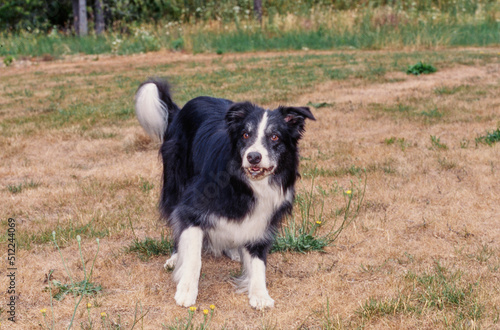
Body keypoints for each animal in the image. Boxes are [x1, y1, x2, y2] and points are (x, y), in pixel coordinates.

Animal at [135, 79, 314, 310]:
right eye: (245, 135)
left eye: (275, 136)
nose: (253, 157)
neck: (244, 184)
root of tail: (180, 109)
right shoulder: (192, 206)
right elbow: (193, 256)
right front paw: (186, 290)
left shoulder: (263, 215)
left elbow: (259, 259)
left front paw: (259, 294)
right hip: (175, 181)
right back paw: (175, 257)